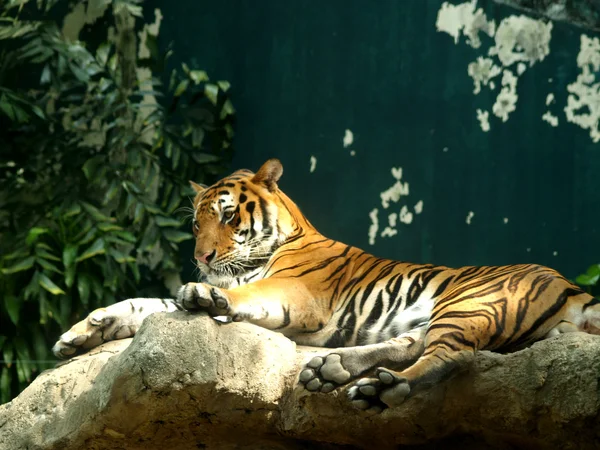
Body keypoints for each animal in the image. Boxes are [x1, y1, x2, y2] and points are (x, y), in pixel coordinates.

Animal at [52, 157, 600, 412]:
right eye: (195, 223)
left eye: (227, 216)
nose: (201, 258)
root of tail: (570, 284)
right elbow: (145, 303)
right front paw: (84, 332)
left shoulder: (294, 295)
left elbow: (236, 296)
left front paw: (207, 295)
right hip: (446, 313)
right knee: (411, 344)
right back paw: (336, 372)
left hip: (469, 301)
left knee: (453, 356)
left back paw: (384, 389)